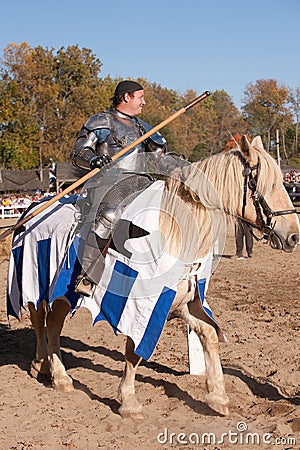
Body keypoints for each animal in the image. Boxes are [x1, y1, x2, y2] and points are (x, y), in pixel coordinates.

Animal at [5, 134, 298, 422]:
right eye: (268, 184)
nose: (293, 235)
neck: (174, 230)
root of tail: (31, 210)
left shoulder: (182, 303)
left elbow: (209, 335)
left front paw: (218, 397)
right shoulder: (141, 308)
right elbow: (133, 351)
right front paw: (128, 402)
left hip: (61, 295)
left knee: (52, 325)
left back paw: (51, 371)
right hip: (34, 285)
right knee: (39, 322)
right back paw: (48, 369)